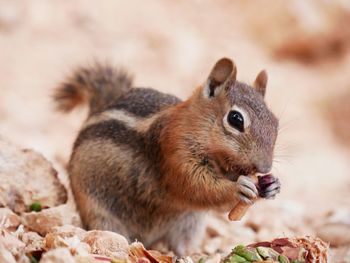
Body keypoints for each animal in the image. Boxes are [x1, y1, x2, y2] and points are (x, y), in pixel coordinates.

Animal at [53, 58, 280, 258]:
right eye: (235, 119)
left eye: (275, 122)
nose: (265, 167)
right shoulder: (173, 152)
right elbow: (196, 187)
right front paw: (238, 187)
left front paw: (272, 186)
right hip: (100, 213)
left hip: (189, 222)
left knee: (180, 242)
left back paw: (189, 254)